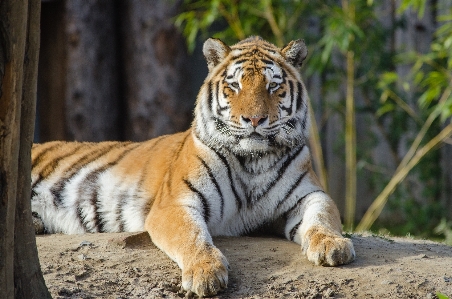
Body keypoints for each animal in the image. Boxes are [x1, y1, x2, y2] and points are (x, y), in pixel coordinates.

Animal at [31, 36, 354, 298]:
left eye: (273, 86)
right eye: (234, 85)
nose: (254, 119)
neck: (252, 160)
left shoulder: (309, 194)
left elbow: (323, 217)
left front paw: (332, 245)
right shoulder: (174, 203)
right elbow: (191, 236)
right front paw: (205, 273)